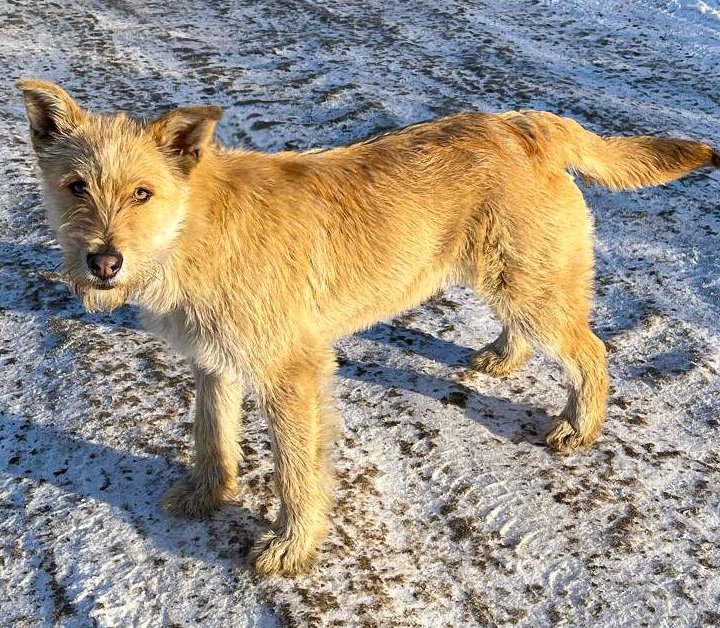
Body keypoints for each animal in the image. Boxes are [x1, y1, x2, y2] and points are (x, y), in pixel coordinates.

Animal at [18, 78, 720, 576]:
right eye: (76, 186)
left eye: (142, 193)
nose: (103, 262)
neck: (193, 226)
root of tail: (527, 123)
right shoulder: (214, 363)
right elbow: (211, 435)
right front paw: (207, 494)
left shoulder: (292, 374)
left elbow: (297, 469)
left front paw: (292, 546)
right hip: (510, 277)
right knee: (531, 333)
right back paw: (502, 356)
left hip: (533, 284)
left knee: (591, 350)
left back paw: (580, 424)